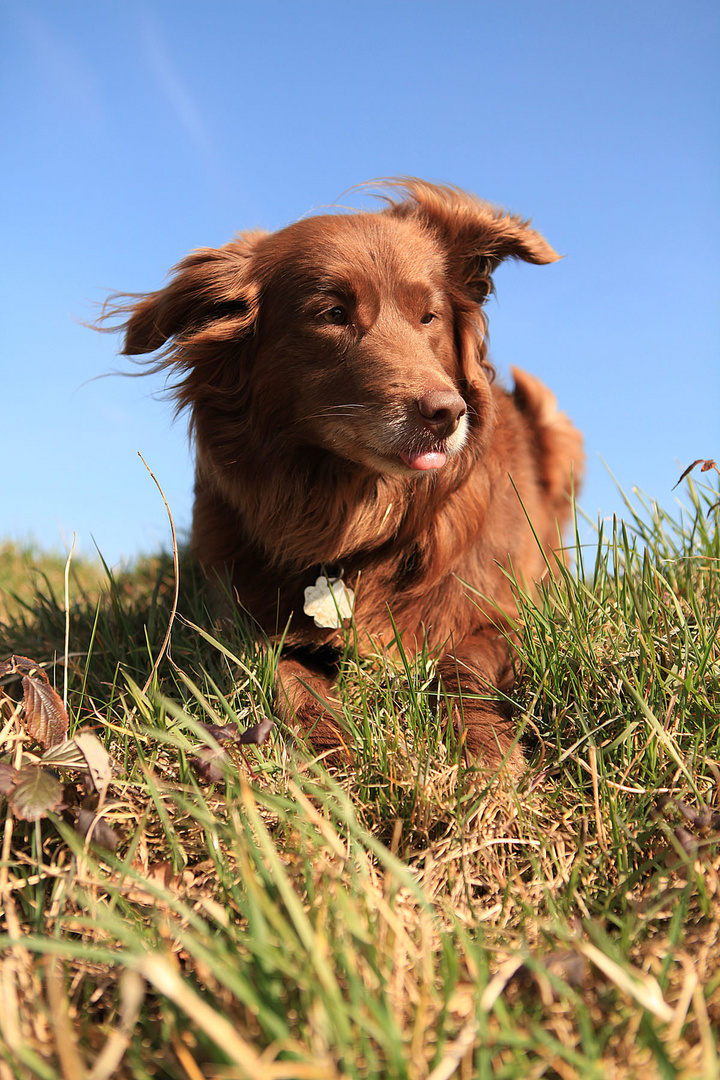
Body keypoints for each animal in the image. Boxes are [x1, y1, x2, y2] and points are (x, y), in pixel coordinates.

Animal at [113, 179, 587, 768]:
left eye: (428, 317)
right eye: (333, 313)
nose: (447, 413)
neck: (356, 516)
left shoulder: (499, 613)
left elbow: (463, 666)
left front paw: (484, 750)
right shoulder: (240, 626)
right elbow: (289, 675)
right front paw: (331, 744)